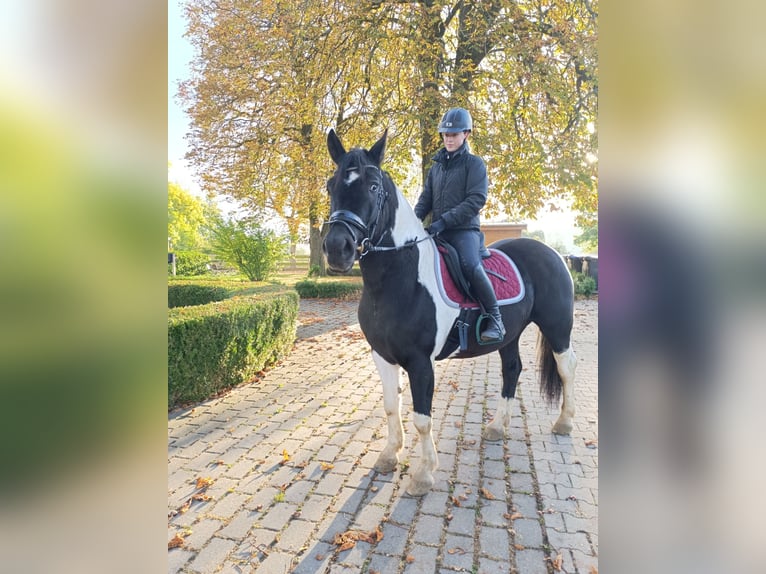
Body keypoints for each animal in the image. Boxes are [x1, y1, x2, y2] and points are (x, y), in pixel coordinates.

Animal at [322, 129, 576, 496]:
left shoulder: (420, 362)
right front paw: (389, 455)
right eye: (331, 185)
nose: (336, 249)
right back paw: (497, 426)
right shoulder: (382, 356)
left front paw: (423, 474)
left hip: (557, 328)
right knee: (512, 370)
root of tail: (553, 253)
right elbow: (390, 406)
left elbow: (421, 418)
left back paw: (564, 422)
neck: (398, 280)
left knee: (567, 369)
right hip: (510, 335)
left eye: (373, 186)